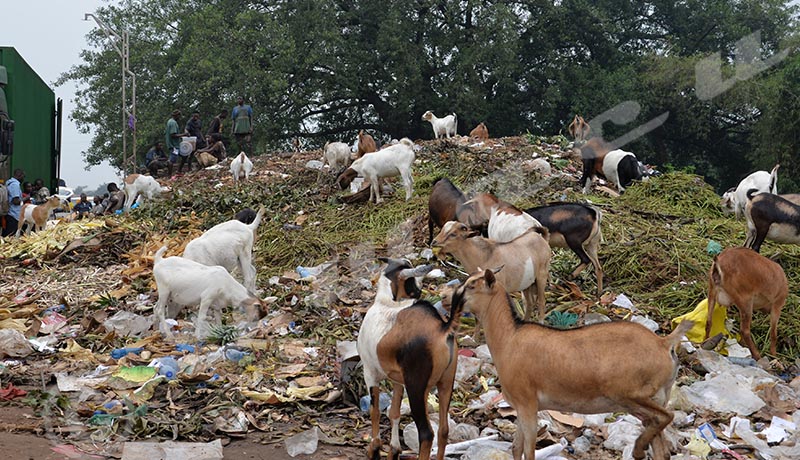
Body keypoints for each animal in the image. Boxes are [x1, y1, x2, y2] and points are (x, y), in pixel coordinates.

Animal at [358, 258, 462, 460]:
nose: (419, 292)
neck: (385, 303)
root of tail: (442, 328)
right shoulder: (398, 380)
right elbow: (394, 412)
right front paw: (394, 450)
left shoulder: (370, 372)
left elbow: (375, 411)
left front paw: (374, 448)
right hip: (446, 382)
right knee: (443, 430)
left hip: (416, 387)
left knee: (427, 434)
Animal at [454, 266, 692, 460]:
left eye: (472, 285)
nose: (452, 300)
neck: (509, 339)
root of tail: (664, 343)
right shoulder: (521, 408)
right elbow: (516, 448)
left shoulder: (527, 404)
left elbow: (528, 451)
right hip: (652, 397)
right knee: (660, 441)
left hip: (629, 394)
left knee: (665, 416)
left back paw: (639, 448)